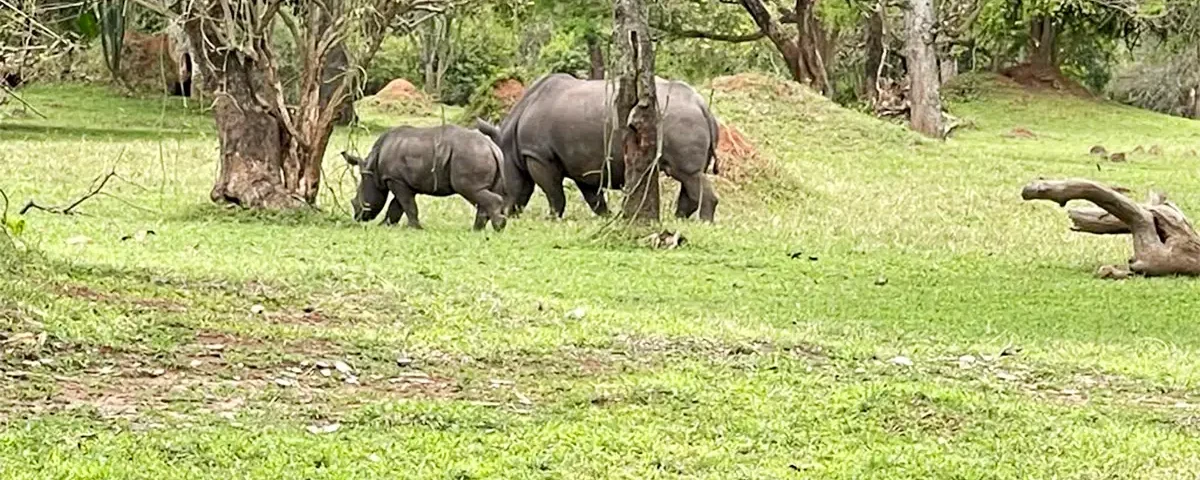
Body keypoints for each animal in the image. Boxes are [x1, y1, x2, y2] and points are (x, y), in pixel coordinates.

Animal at [342, 125, 506, 231]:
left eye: (359, 202)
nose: (357, 217)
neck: (373, 168)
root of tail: (492, 148)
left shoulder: (395, 179)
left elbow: (407, 205)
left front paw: (415, 228)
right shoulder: (402, 181)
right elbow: (397, 206)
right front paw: (385, 226)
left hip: (470, 155)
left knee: (471, 190)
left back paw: (497, 227)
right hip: (479, 154)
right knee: (481, 193)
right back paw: (478, 230)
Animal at [475, 74, 720, 221]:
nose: (505, 214)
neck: (509, 141)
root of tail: (702, 105)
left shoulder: (538, 156)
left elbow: (553, 193)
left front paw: (552, 219)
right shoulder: (582, 161)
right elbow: (593, 197)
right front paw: (607, 217)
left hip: (679, 119)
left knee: (687, 174)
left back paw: (703, 224)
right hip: (684, 119)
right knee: (690, 177)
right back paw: (681, 220)